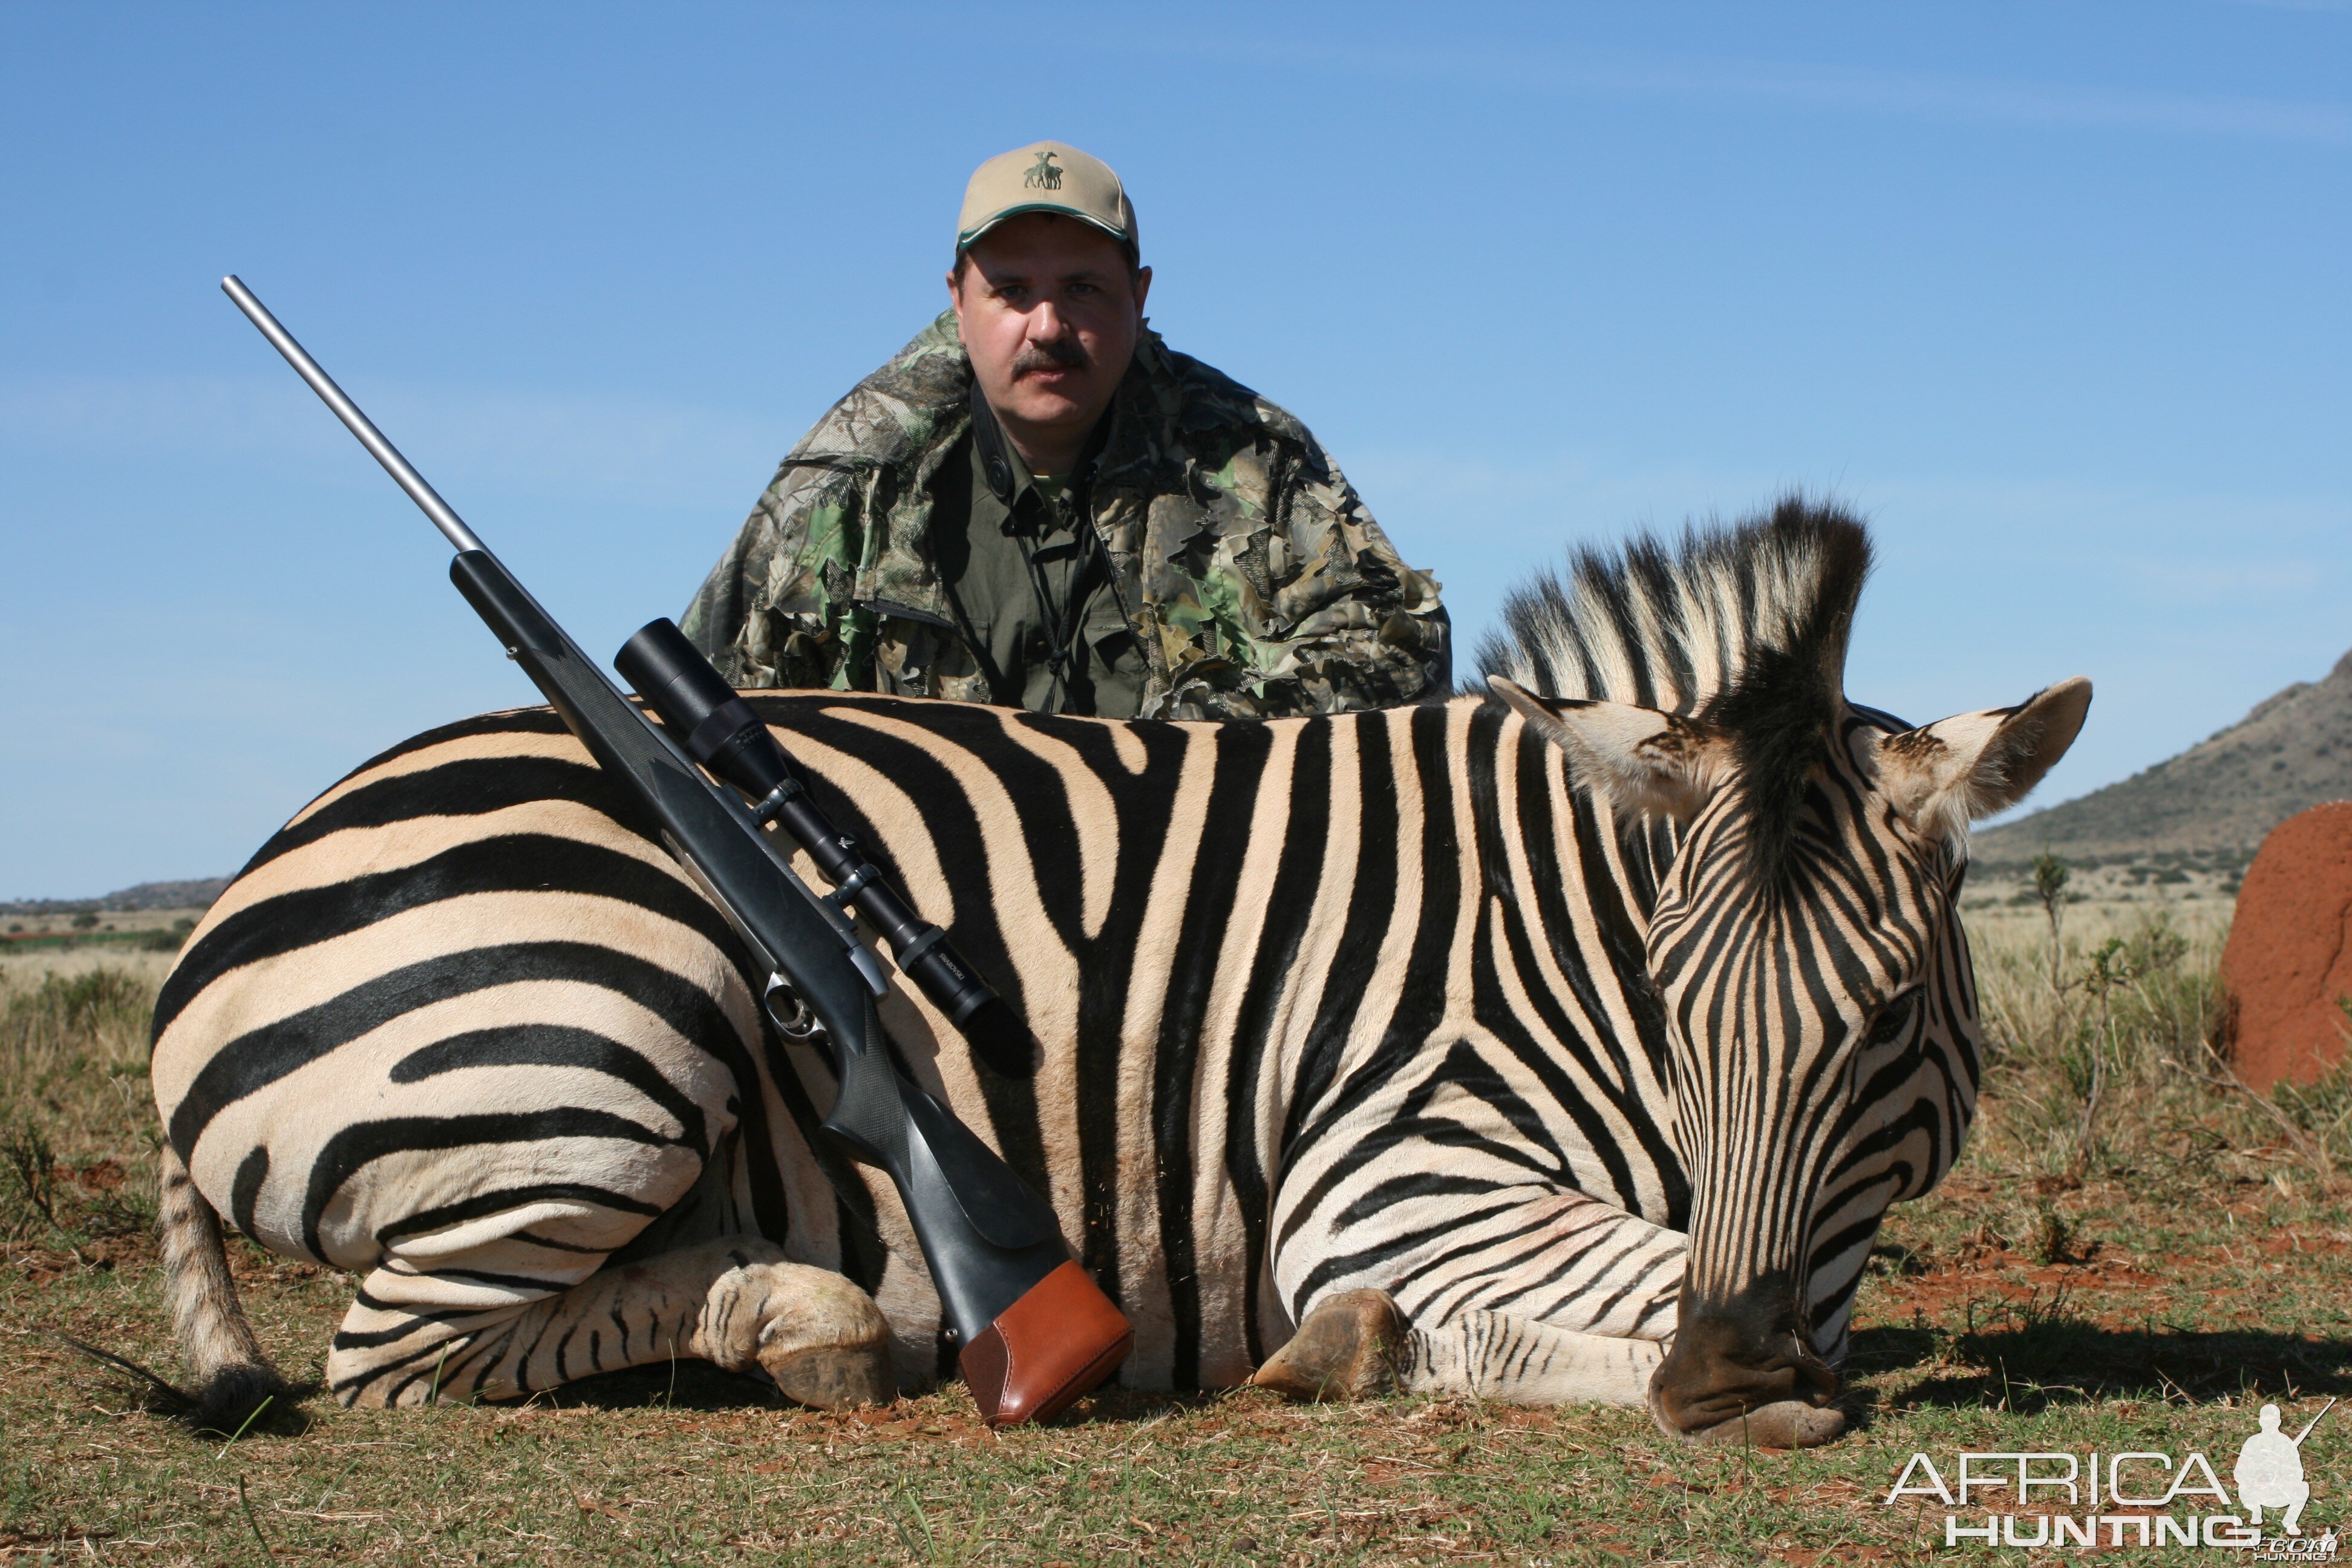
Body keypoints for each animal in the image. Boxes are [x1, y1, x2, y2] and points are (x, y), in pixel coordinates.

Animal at [156, 503, 2088, 1448]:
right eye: (1673, 1004)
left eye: (1891, 1018)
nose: (1726, 1386)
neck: (1555, 914)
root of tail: (225, 905)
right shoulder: (1385, 1164)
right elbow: (1713, 1297)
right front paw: (1362, 1346)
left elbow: (1771, 1291)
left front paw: (1371, 1348)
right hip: (611, 1053)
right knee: (389, 1357)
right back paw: (803, 1317)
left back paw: (815, 1313)